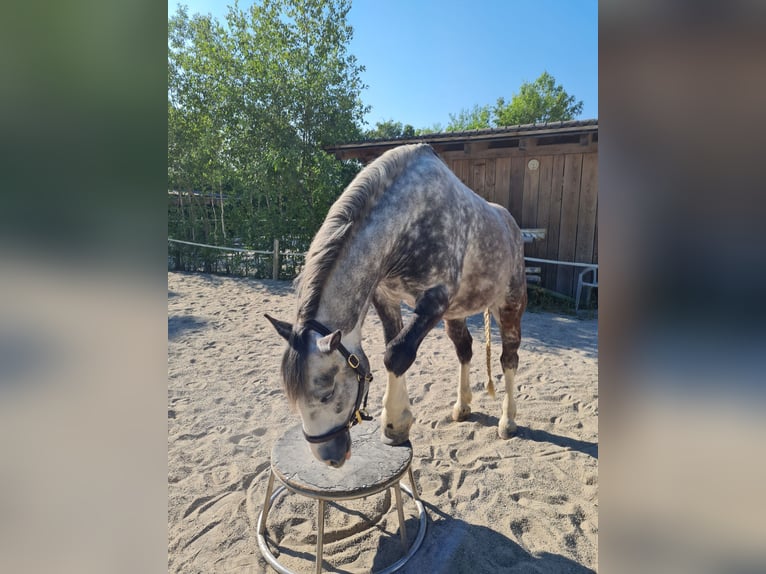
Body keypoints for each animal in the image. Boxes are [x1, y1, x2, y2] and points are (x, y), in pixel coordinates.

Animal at [266, 143, 528, 468]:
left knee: (509, 359)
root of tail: (512, 227)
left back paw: (508, 421)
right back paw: (462, 406)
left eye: (326, 394)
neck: (410, 220)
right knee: (464, 350)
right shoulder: (386, 297)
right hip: (456, 313)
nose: (330, 458)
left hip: (510, 306)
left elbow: (397, 354)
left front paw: (393, 425)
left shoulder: (434, 301)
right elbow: (392, 346)